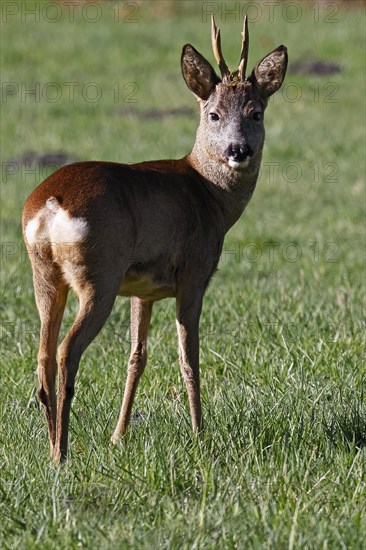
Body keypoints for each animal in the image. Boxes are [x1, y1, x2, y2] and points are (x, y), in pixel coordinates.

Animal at [22, 17, 288, 464]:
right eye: (213, 114)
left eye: (256, 112)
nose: (239, 150)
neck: (210, 195)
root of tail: (51, 204)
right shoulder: (194, 275)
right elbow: (188, 357)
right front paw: (200, 435)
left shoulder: (141, 289)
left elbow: (136, 357)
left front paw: (118, 435)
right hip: (99, 275)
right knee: (66, 351)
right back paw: (62, 453)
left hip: (45, 275)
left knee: (43, 354)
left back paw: (50, 446)